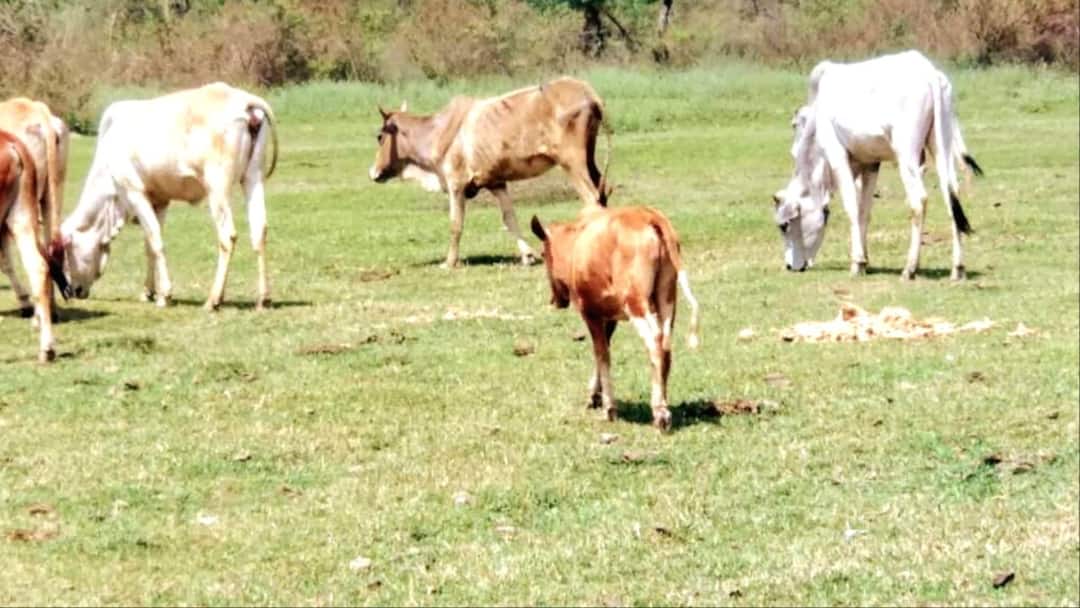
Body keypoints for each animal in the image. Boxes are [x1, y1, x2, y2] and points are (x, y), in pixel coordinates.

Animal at [56, 82, 278, 310]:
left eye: (66, 255)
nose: (75, 291)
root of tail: (245, 101)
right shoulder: (160, 200)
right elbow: (149, 244)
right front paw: (149, 291)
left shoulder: (135, 192)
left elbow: (155, 240)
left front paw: (165, 295)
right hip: (253, 177)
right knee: (259, 230)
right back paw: (263, 298)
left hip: (217, 186)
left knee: (227, 236)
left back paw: (213, 299)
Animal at [368, 76, 606, 268]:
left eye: (380, 136)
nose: (373, 172)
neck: (437, 131)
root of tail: (589, 94)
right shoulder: (496, 182)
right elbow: (509, 218)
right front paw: (528, 256)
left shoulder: (456, 184)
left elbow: (455, 224)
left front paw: (449, 262)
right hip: (589, 162)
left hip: (572, 163)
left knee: (591, 198)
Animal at [529, 189, 701, 432]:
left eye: (544, 255)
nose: (555, 300)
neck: (578, 242)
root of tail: (650, 217)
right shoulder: (609, 317)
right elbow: (604, 349)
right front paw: (594, 395)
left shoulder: (590, 313)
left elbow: (602, 354)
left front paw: (609, 407)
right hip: (667, 299)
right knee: (666, 345)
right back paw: (664, 403)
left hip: (636, 303)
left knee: (655, 342)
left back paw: (659, 412)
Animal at [772, 50, 983, 280]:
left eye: (783, 226)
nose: (790, 266)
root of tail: (930, 74)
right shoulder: (871, 164)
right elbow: (864, 210)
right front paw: (865, 260)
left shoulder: (837, 155)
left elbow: (852, 207)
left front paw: (857, 263)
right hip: (940, 146)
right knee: (951, 195)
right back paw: (958, 268)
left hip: (906, 154)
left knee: (919, 200)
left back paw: (910, 268)